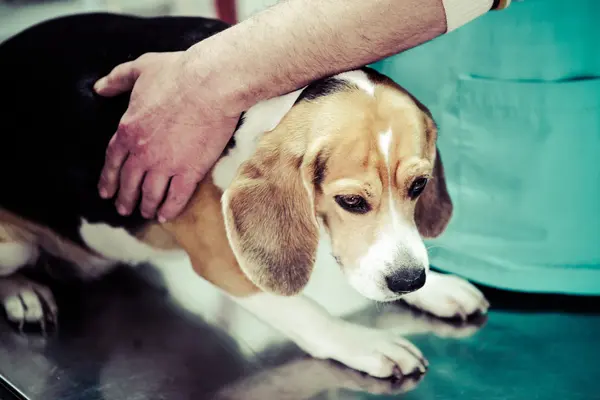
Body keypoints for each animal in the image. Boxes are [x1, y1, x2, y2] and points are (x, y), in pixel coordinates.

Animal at [0, 13, 488, 378]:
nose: (410, 280)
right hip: (16, 244)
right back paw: (22, 294)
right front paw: (362, 343)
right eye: (351, 202)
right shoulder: (222, 257)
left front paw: (437, 288)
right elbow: (303, 309)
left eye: (419, 186)